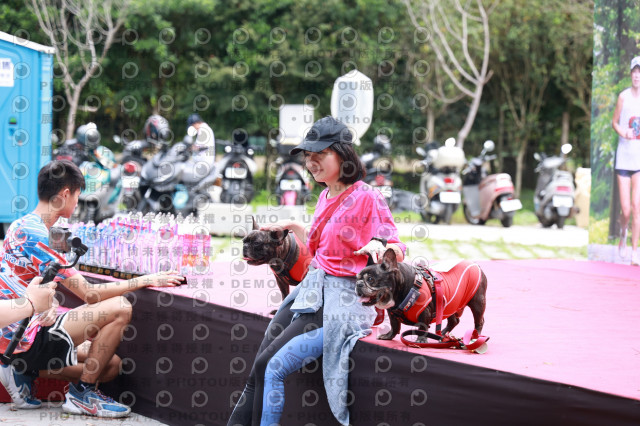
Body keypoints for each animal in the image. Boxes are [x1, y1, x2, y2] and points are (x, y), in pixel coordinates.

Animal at [355, 249, 487, 341]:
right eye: (357, 278)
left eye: (371, 279)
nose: (358, 284)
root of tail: (476, 265)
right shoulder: (392, 313)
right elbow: (394, 325)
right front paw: (389, 336)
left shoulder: (425, 312)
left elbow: (422, 327)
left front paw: (421, 340)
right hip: (450, 305)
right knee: (454, 320)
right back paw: (443, 334)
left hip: (477, 303)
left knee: (479, 321)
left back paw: (475, 337)